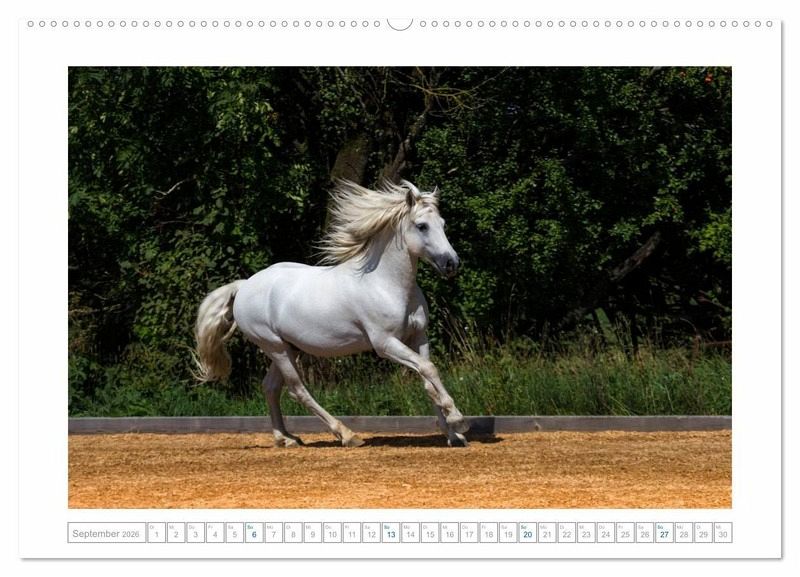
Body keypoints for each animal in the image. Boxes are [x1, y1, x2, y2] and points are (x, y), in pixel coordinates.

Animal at [193, 180, 469, 447]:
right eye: (422, 226)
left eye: (443, 224)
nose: (452, 263)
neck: (386, 284)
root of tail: (244, 286)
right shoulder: (385, 343)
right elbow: (428, 369)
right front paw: (458, 419)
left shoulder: (418, 336)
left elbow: (428, 378)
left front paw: (453, 435)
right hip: (275, 347)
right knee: (297, 390)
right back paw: (347, 435)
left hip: (288, 347)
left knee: (270, 388)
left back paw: (286, 438)